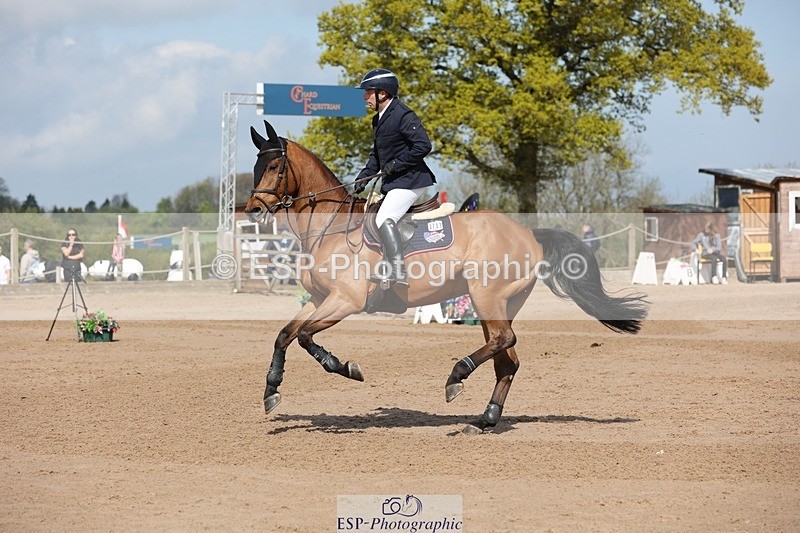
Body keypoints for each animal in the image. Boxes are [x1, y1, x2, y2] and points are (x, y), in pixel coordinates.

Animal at [245, 120, 648, 434]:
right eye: (256, 166)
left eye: (275, 167)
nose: (253, 210)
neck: (329, 228)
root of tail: (529, 233)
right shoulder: (318, 300)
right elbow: (285, 334)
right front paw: (271, 391)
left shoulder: (346, 301)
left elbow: (305, 337)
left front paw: (345, 368)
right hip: (499, 303)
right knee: (507, 357)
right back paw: (485, 419)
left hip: (487, 297)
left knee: (503, 341)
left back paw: (457, 377)